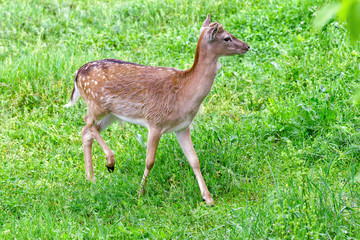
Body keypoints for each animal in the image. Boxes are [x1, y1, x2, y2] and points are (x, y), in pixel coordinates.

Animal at [64, 14, 249, 205]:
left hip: (113, 114)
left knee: (86, 131)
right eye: (226, 38)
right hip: (96, 103)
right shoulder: (155, 122)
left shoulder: (183, 127)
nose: (247, 46)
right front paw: (140, 194)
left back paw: (91, 178)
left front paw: (208, 198)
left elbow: (194, 160)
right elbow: (149, 161)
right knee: (87, 122)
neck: (184, 94)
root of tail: (77, 74)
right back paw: (110, 162)